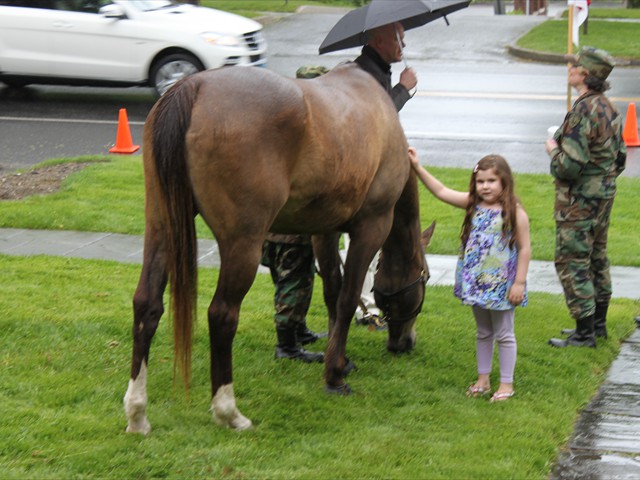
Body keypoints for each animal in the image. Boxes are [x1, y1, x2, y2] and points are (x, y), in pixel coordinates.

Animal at [123, 63, 428, 434]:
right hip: (243, 243)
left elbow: (332, 293)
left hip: (162, 226)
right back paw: (228, 411)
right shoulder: (372, 226)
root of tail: (193, 86)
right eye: (425, 279)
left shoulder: (323, 231)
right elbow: (346, 299)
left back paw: (137, 413)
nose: (405, 343)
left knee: (147, 305)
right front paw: (334, 377)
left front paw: (338, 359)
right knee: (222, 315)